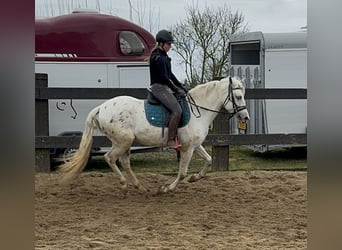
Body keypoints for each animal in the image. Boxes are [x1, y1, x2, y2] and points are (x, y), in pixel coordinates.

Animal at [58, 76, 250, 193]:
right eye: (238, 96)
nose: (245, 117)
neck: (199, 111)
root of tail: (101, 107)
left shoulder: (194, 145)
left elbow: (208, 160)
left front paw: (195, 178)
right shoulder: (187, 148)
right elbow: (182, 173)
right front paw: (167, 188)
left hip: (125, 143)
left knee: (124, 162)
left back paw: (139, 186)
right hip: (123, 141)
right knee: (110, 158)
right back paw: (125, 184)